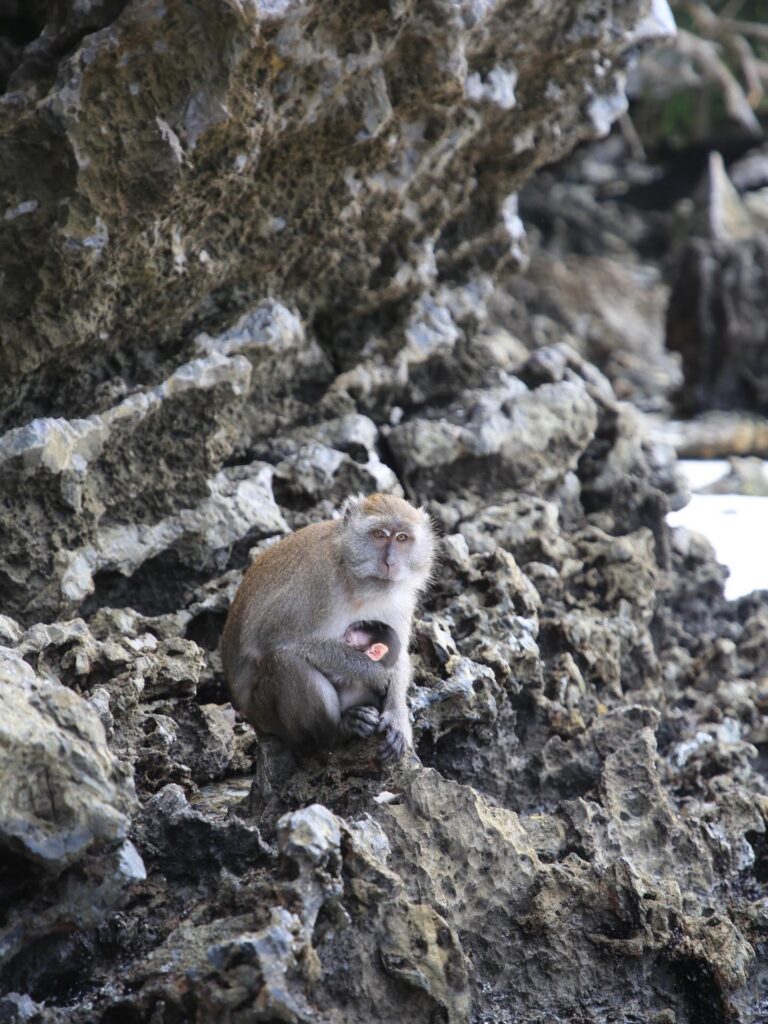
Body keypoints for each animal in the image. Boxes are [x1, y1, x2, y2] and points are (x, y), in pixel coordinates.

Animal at [221, 493, 436, 762]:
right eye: (379, 534)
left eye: (402, 538)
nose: (390, 562)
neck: (354, 579)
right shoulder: (318, 581)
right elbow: (276, 640)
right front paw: (374, 673)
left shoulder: (401, 599)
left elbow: (399, 654)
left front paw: (398, 718)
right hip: (264, 712)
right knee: (285, 662)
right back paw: (337, 731)